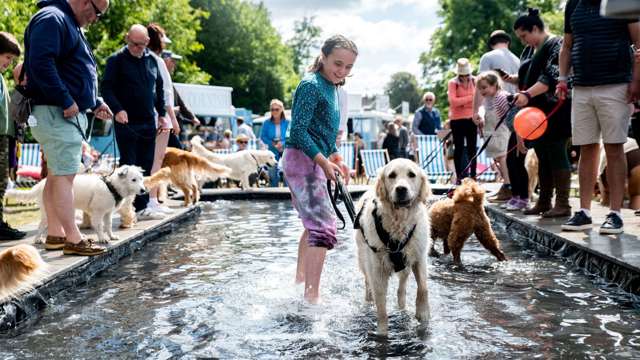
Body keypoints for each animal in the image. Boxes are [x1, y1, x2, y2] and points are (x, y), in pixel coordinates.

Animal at [6, 165, 146, 243]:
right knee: (41, 225)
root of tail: (40, 184)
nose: (144, 190)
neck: (111, 186)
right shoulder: (98, 213)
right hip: (48, 210)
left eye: (141, 179)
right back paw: (38, 239)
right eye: (133, 180)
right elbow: (99, 226)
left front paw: (111, 236)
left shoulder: (107, 213)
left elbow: (109, 225)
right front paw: (102, 238)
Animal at [352, 159, 432, 336]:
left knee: (401, 288)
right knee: (368, 285)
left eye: (411, 174)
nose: (401, 189)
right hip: (363, 258)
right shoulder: (377, 270)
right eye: (392, 175)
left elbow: (423, 288)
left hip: (405, 266)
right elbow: (381, 306)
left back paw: (402, 307)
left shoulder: (419, 256)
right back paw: (368, 302)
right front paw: (382, 333)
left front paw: (423, 314)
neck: (399, 221)